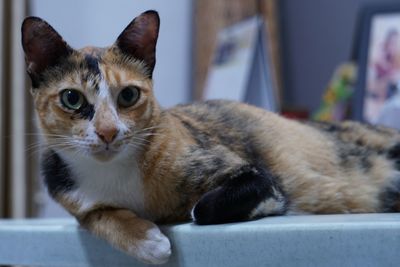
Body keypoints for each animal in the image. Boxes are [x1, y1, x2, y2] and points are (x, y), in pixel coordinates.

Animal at [21, 9, 400, 264]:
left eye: (128, 95)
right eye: (72, 99)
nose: (108, 132)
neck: (113, 175)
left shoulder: (258, 176)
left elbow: (202, 209)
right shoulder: (68, 193)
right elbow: (96, 216)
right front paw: (147, 240)